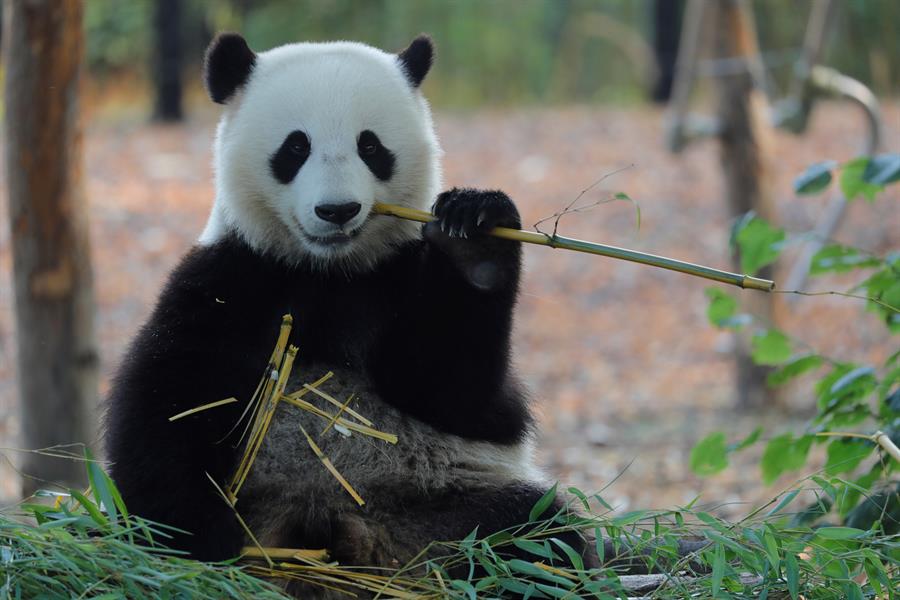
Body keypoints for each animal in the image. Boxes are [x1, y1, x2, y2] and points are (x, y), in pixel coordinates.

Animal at [105, 31, 592, 584]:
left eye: (371, 146)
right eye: (296, 146)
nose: (337, 211)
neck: (329, 272)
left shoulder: (393, 278)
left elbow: (453, 391)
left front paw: (473, 237)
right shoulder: (233, 281)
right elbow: (171, 407)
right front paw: (196, 552)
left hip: (440, 504)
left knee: (534, 538)